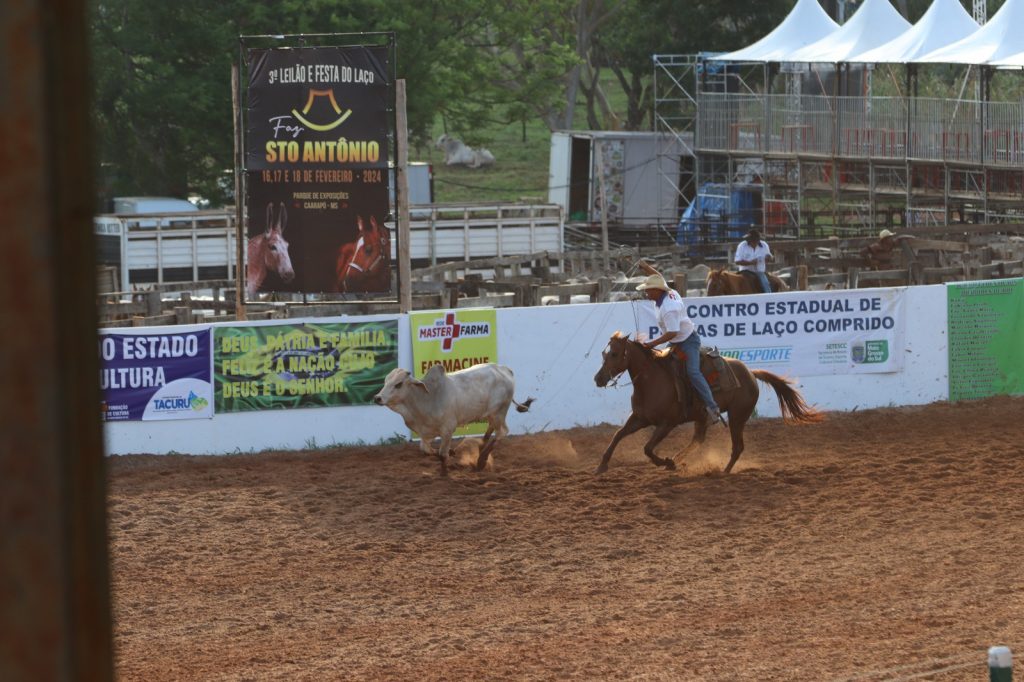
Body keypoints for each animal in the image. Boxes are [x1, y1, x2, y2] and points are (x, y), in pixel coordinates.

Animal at [376, 360, 536, 473]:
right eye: (385, 381)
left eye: (398, 384)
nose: (377, 398)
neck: (427, 398)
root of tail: (504, 369)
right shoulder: (427, 432)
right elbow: (426, 451)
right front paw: (451, 452)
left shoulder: (448, 429)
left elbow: (442, 454)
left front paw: (444, 473)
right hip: (491, 414)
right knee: (493, 429)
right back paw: (481, 445)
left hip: (499, 412)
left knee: (502, 432)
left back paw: (481, 460)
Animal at [593, 331, 823, 475]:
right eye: (604, 353)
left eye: (614, 353)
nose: (598, 379)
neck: (653, 381)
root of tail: (751, 372)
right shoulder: (640, 418)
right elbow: (618, 435)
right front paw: (602, 465)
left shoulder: (667, 423)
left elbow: (647, 448)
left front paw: (665, 461)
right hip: (702, 416)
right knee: (699, 439)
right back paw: (678, 460)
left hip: (737, 416)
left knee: (737, 447)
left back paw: (722, 471)